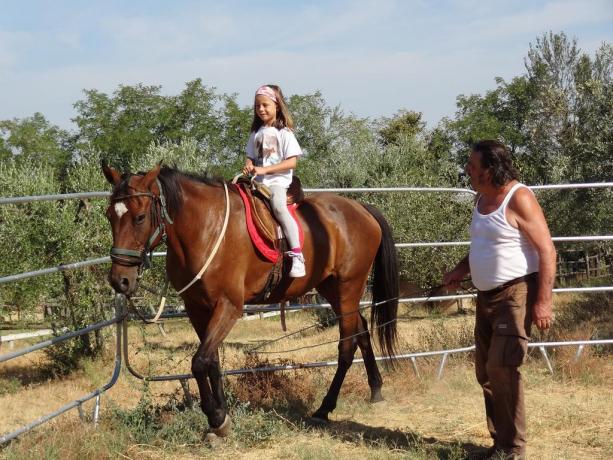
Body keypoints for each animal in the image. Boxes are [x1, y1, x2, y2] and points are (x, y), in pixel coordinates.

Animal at [101, 164, 396, 438]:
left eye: (140, 217)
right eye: (109, 216)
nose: (119, 280)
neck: (205, 229)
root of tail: (361, 208)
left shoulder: (229, 307)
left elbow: (199, 361)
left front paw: (216, 416)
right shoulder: (197, 308)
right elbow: (212, 361)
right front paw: (221, 414)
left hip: (348, 288)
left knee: (347, 346)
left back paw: (325, 408)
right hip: (333, 289)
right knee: (362, 331)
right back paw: (376, 388)